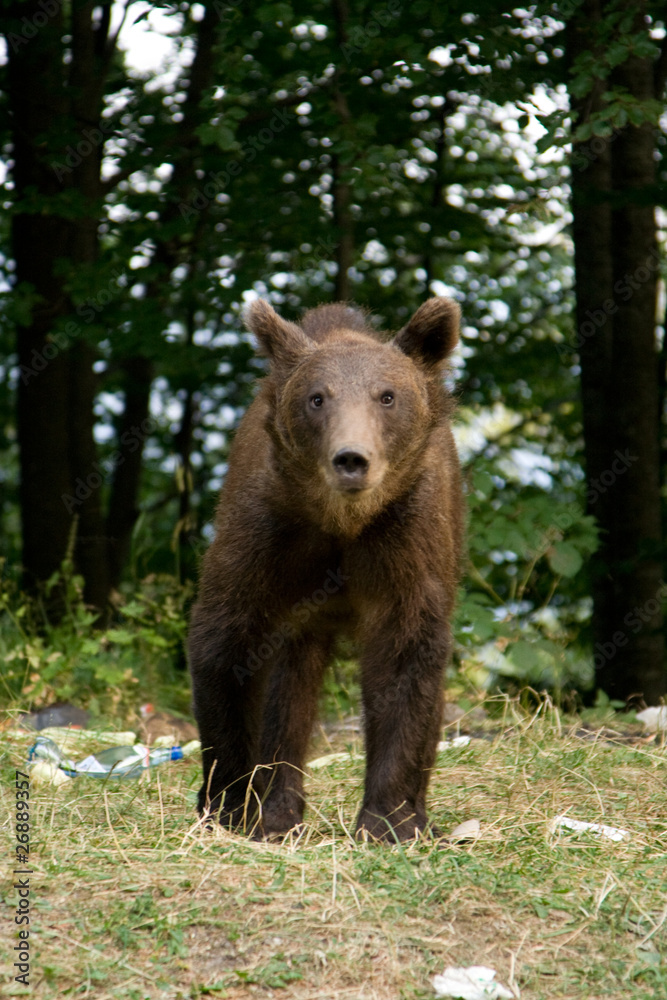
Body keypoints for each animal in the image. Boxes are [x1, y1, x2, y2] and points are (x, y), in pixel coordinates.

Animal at [188, 298, 464, 844]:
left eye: (387, 396)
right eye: (317, 398)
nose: (352, 459)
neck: (343, 522)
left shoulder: (406, 540)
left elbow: (406, 660)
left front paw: (388, 820)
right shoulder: (268, 533)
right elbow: (228, 644)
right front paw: (230, 807)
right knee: (289, 688)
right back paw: (279, 811)